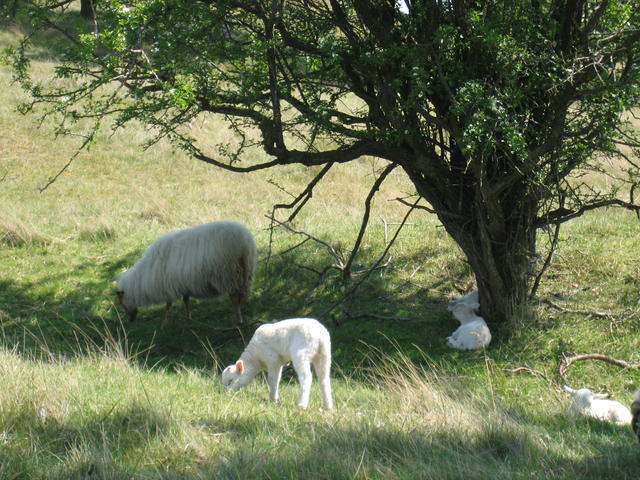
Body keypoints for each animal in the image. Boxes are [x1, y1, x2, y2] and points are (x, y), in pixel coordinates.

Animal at [116, 220, 256, 326]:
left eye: (121, 303)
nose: (131, 320)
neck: (143, 277)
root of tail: (244, 241)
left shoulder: (166, 286)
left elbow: (168, 304)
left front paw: (165, 323)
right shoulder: (183, 283)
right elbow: (186, 300)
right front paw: (189, 318)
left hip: (228, 274)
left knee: (234, 298)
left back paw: (238, 320)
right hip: (245, 273)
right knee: (239, 297)